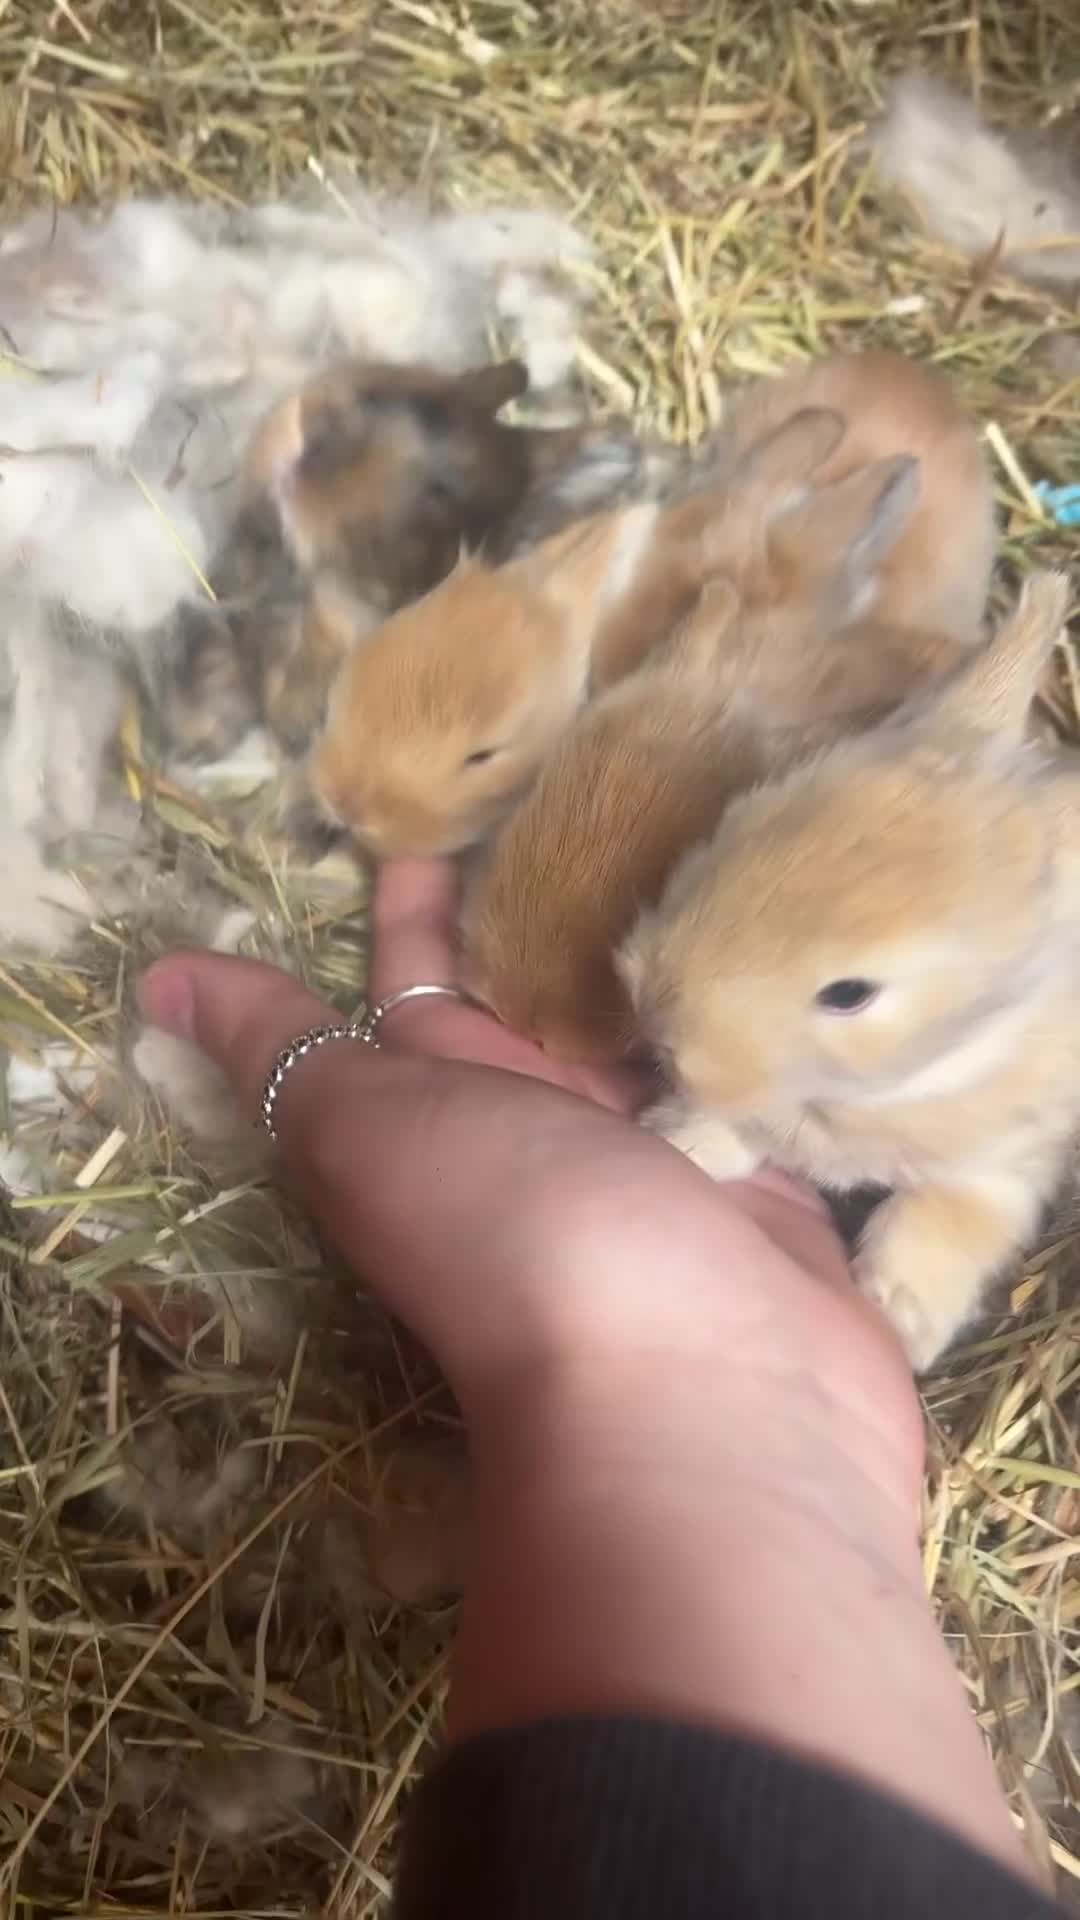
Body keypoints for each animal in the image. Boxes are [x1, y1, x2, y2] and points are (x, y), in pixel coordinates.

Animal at [616, 569, 1076, 1374]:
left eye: (850, 994)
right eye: (740, 821)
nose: (655, 1012)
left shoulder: (1003, 1165)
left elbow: (948, 1222)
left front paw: (899, 1317)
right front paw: (676, 1139)